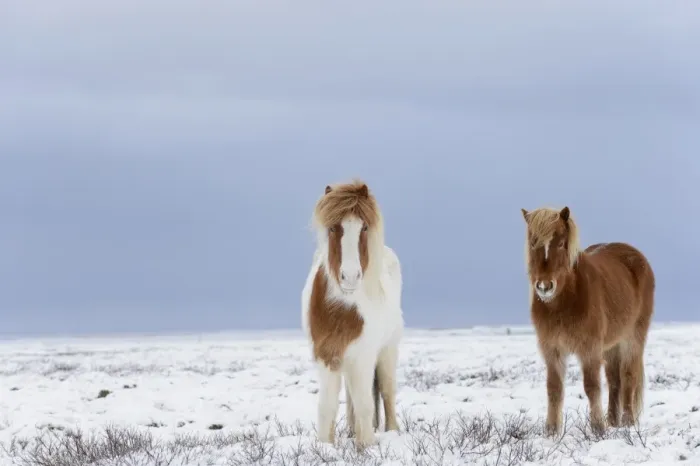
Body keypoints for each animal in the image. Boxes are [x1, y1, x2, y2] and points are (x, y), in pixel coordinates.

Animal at [301, 180, 404, 449]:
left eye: (364, 227)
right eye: (333, 228)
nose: (349, 277)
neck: (343, 309)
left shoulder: (364, 356)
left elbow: (366, 403)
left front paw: (366, 445)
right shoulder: (328, 355)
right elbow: (327, 406)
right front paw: (325, 446)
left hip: (387, 350)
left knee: (387, 391)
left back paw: (392, 432)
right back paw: (349, 430)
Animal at [520, 206, 654, 436]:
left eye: (561, 243)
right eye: (533, 243)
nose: (545, 286)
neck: (564, 303)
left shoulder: (589, 349)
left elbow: (592, 386)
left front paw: (597, 428)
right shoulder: (552, 349)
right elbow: (554, 388)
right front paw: (551, 431)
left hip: (633, 338)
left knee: (628, 376)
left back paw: (627, 422)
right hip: (611, 345)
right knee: (614, 380)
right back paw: (613, 421)